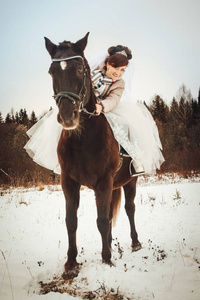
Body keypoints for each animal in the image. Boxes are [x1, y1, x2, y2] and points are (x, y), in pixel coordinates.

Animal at [44, 32, 141, 272]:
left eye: (80, 68)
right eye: (51, 71)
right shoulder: (69, 182)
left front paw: (106, 260)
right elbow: (72, 222)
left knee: (130, 209)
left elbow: (102, 221)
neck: (83, 141)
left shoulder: (104, 181)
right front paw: (71, 263)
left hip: (130, 181)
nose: (67, 117)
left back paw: (135, 243)